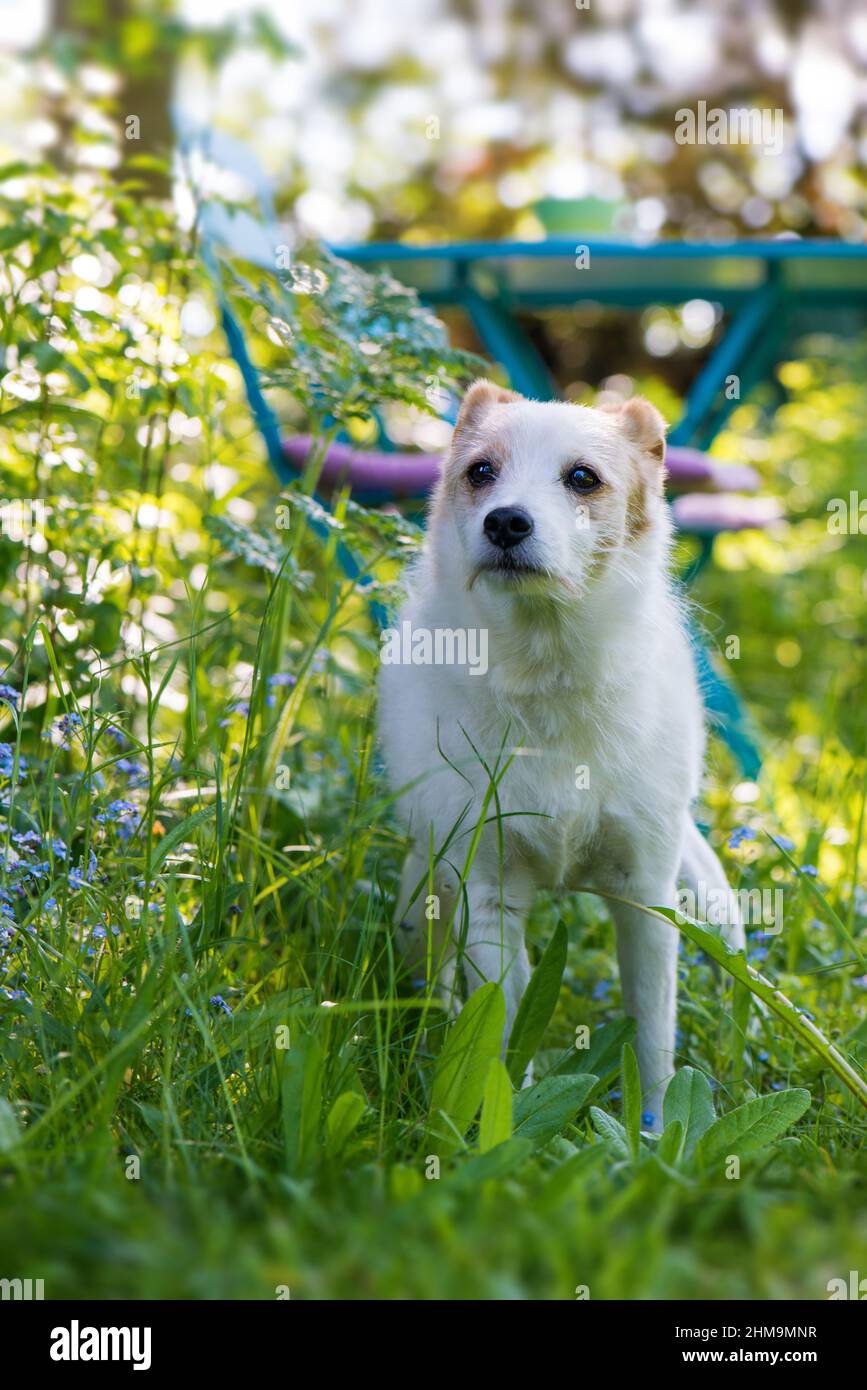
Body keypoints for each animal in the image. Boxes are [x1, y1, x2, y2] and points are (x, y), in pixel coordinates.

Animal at [377, 383, 744, 1128]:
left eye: (581, 478)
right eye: (480, 472)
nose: (505, 523)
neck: (547, 673)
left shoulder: (646, 899)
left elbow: (652, 1037)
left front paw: (655, 1132)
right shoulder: (490, 900)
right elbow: (500, 1031)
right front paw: (500, 1123)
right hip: (427, 890)